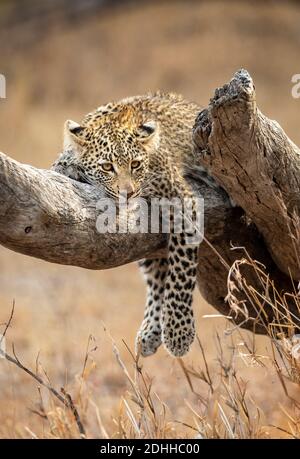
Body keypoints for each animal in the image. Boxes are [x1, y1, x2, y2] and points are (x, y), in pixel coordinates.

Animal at [51, 92, 216, 360]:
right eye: (107, 167)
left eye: (136, 164)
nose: (128, 193)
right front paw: (68, 167)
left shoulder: (184, 201)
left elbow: (181, 271)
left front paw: (178, 333)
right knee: (156, 278)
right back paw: (149, 333)